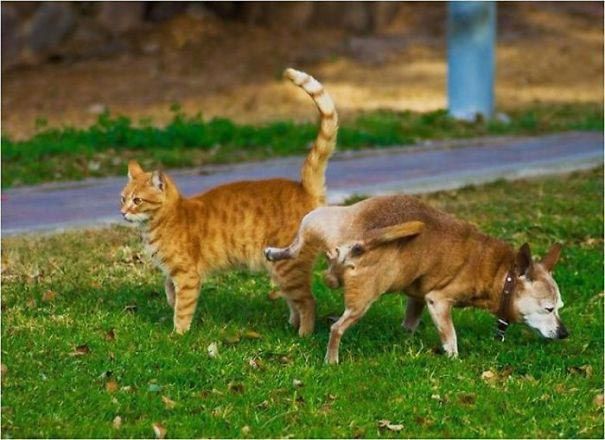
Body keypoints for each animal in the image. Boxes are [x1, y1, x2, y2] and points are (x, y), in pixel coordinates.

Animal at [118, 69, 336, 334]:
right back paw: (291, 325)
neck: (162, 221)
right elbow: (169, 291)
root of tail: (303, 187)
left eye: (137, 200)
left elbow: (182, 309)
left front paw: (177, 334)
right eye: (123, 198)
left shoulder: (187, 276)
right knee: (294, 301)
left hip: (288, 268)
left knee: (308, 301)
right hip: (278, 268)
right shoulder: (172, 273)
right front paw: (171, 304)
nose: (123, 211)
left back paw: (303, 334)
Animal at [264, 194, 568, 362]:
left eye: (560, 308)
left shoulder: (419, 298)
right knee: (337, 328)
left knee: (297, 245)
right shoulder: (438, 301)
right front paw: (453, 360)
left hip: (319, 219)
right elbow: (450, 336)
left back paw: (275, 252)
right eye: (548, 309)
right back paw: (332, 360)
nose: (565, 333)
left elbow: (410, 321)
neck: (503, 275)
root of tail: (363, 238)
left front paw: (405, 339)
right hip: (364, 297)